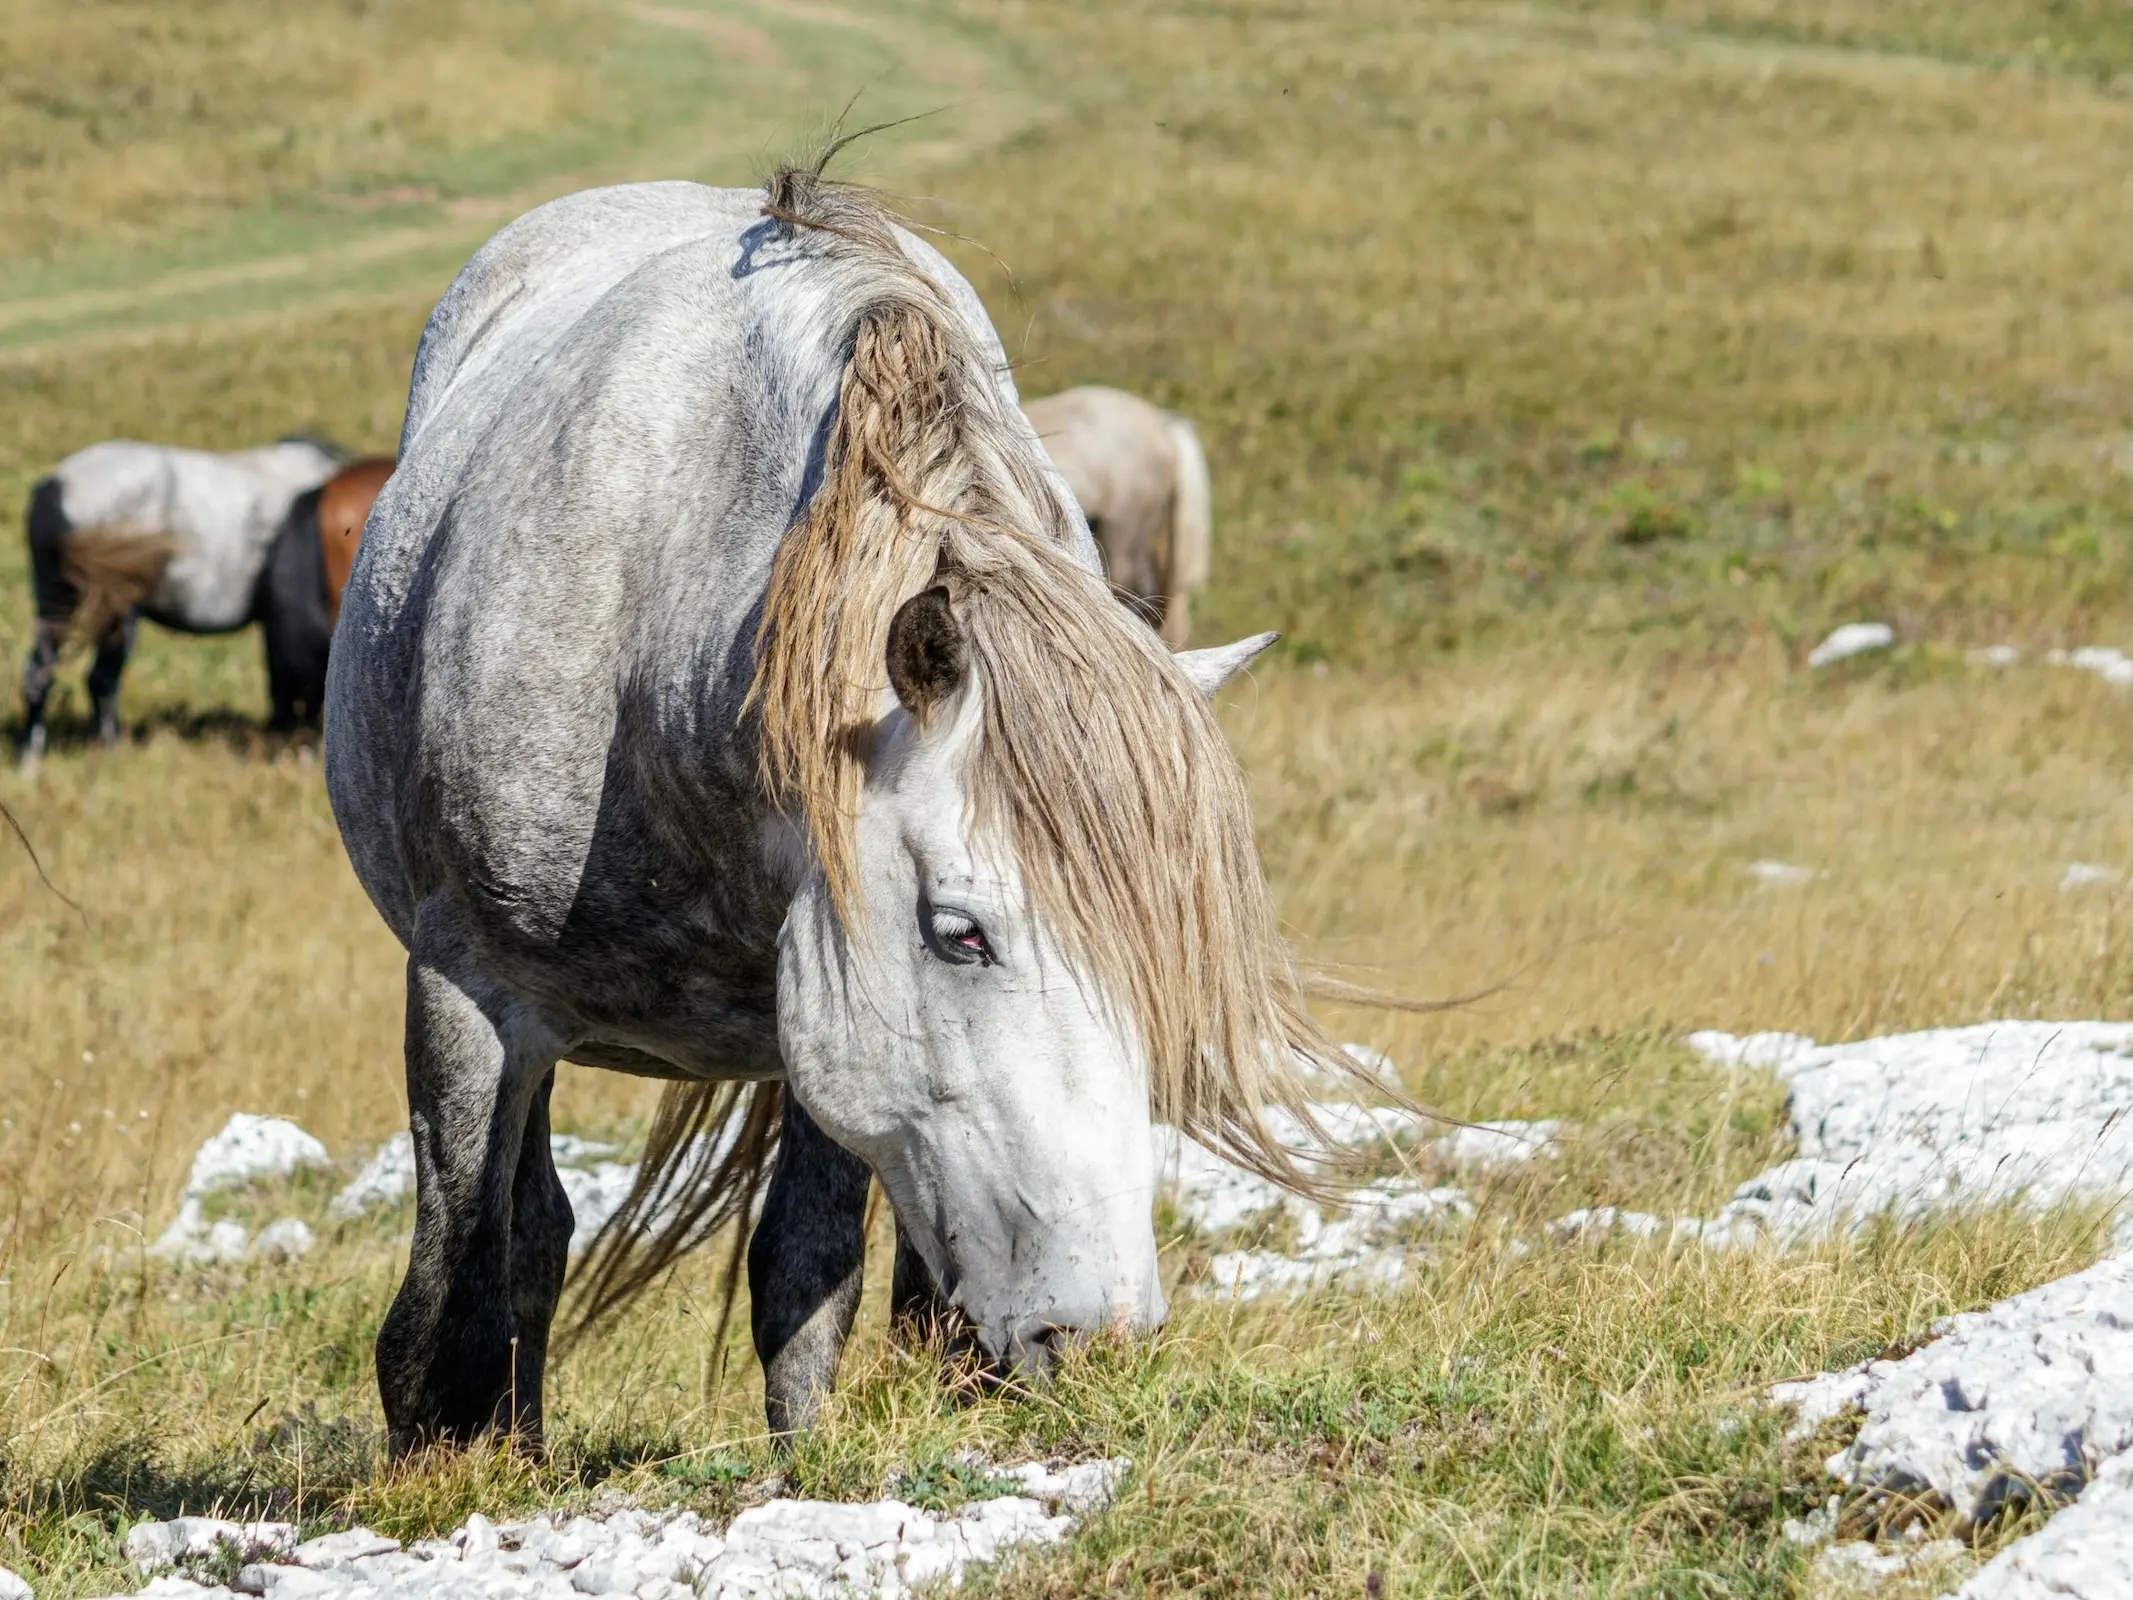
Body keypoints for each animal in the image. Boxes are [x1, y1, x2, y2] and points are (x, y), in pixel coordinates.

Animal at [17, 436, 346, 760]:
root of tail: (58, 485)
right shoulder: (284, 618)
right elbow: (285, 681)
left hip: (54, 595)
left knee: (40, 672)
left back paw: (31, 754)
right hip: (116, 607)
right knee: (101, 679)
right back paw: (110, 749)